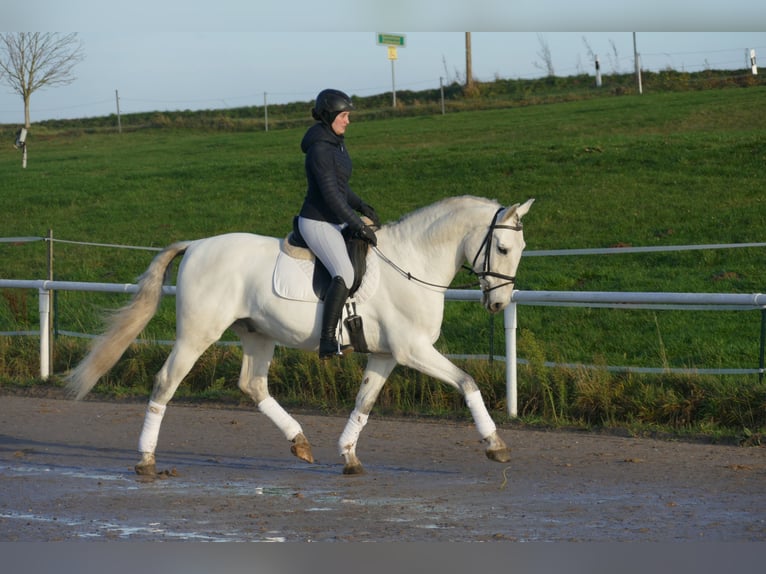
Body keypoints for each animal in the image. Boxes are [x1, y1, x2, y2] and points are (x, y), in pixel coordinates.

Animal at [64, 196, 536, 474]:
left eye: (521, 250)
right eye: (504, 249)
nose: (498, 304)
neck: (412, 261)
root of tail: (196, 245)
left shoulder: (386, 355)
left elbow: (364, 402)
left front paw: (348, 454)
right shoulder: (413, 349)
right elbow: (467, 382)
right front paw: (495, 444)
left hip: (257, 334)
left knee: (252, 385)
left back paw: (300, 442)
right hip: (197, 335)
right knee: (165, 383)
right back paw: (146, 459)